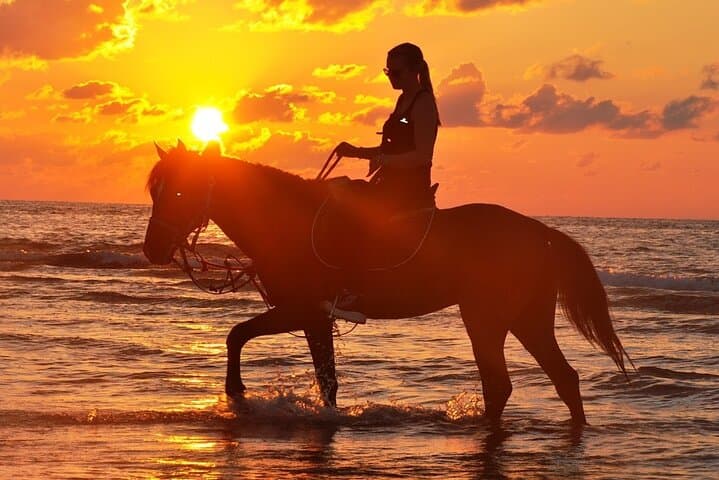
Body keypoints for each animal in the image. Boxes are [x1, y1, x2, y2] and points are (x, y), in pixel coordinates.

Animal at [142, 141, 632, 425]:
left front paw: (238, 395)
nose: (152, 249)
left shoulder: (304, 311)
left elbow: (237, 335)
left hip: (487, 319)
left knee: (504, 384)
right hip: (526, 319)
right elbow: (325, 380)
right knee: (560, 379)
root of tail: (539, 231)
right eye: (154, 190)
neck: (286, 220)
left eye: (181, 191)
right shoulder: (313, 319)